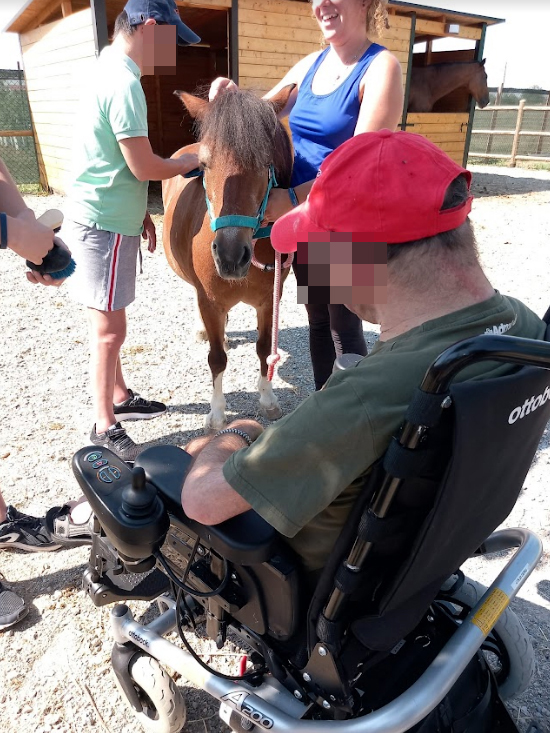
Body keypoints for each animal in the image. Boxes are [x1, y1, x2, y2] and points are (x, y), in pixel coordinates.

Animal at [162, 87, 296, 428]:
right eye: (205, 164)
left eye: (264, 163)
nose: (230, 256)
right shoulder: (208, 301)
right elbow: (217, 358)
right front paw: (218, 413)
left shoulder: (269, 301)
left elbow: (263, 350)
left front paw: (267, 399)